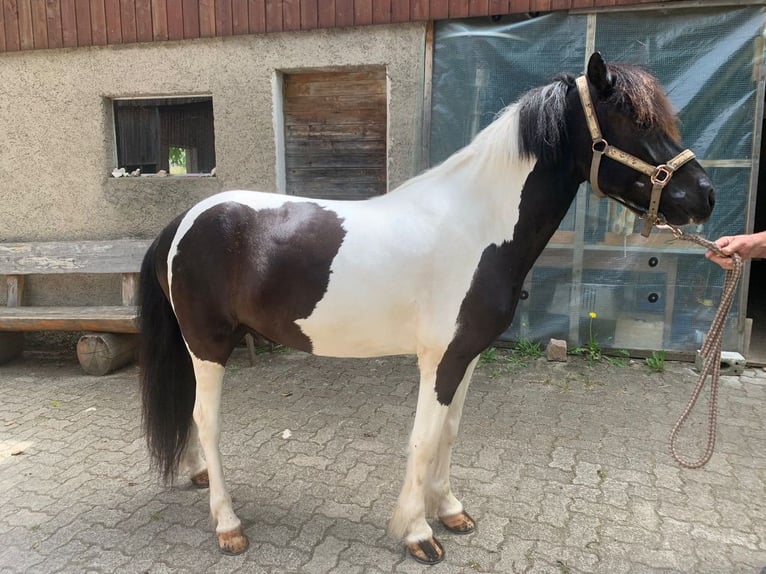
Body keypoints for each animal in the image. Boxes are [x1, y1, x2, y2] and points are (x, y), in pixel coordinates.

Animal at [138, 52, 715, 564]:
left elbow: (449, 434)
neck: (476, 226)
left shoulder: (467, 356)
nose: (704, 196)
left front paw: (451, 510)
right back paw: (227, 524)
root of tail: (184, 220)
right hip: (209, 345)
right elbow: (423, 439)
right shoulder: (438, 360)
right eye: (636, 120)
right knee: (207, 419)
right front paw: (418, 532)